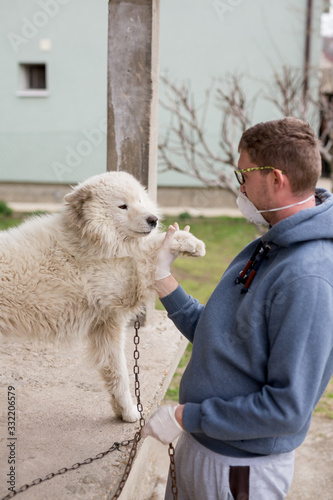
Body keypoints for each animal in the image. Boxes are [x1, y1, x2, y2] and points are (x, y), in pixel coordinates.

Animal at [0, 172, 204, 422]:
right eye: (123, 206)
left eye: (139, 200)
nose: (153, 219)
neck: (92, 239)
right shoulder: (122, 288)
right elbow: (147, 253)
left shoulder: (107, 325)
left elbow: (116, 373)